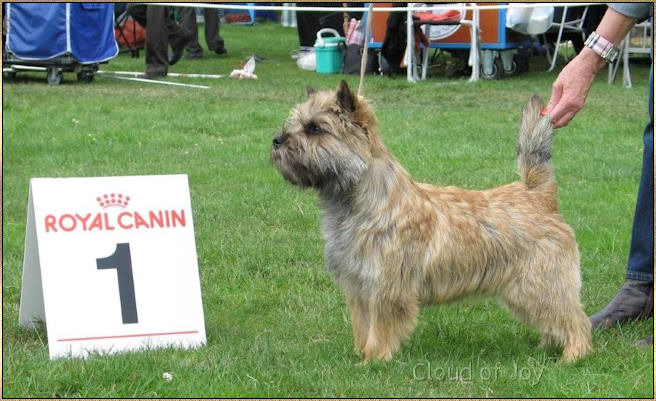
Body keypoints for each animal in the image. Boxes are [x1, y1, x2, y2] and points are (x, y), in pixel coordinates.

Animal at [270, 79, 592, 360]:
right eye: (294, 124)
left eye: (315, 128)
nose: (276, 140)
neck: (361, 203)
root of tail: (537, 193)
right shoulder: (358, 287)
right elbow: (362, 327)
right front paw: (360, 354)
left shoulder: (386, 289)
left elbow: (380, 330)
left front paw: (373, 360)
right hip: (522, 290)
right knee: (553, 321)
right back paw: (546, 348)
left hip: (539, 284)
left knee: (575, 319)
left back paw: (573, 355)